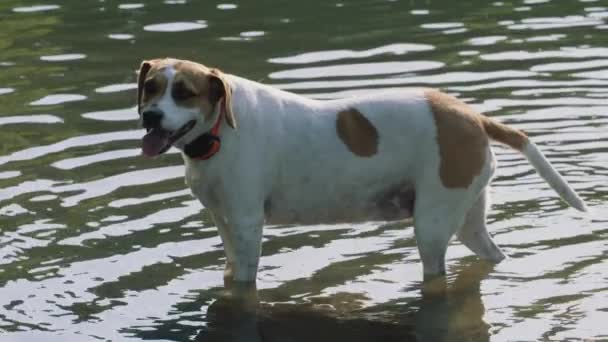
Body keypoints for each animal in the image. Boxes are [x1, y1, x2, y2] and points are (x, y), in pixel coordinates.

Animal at [135, 58, 588, 284]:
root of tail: (473, 116)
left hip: (432, 225)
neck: (217, 133)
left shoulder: (248, 225)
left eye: (185, 92)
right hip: (468, 221)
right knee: (492, 253)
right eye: (151, 87)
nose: (150, 116)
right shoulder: (224, 222)